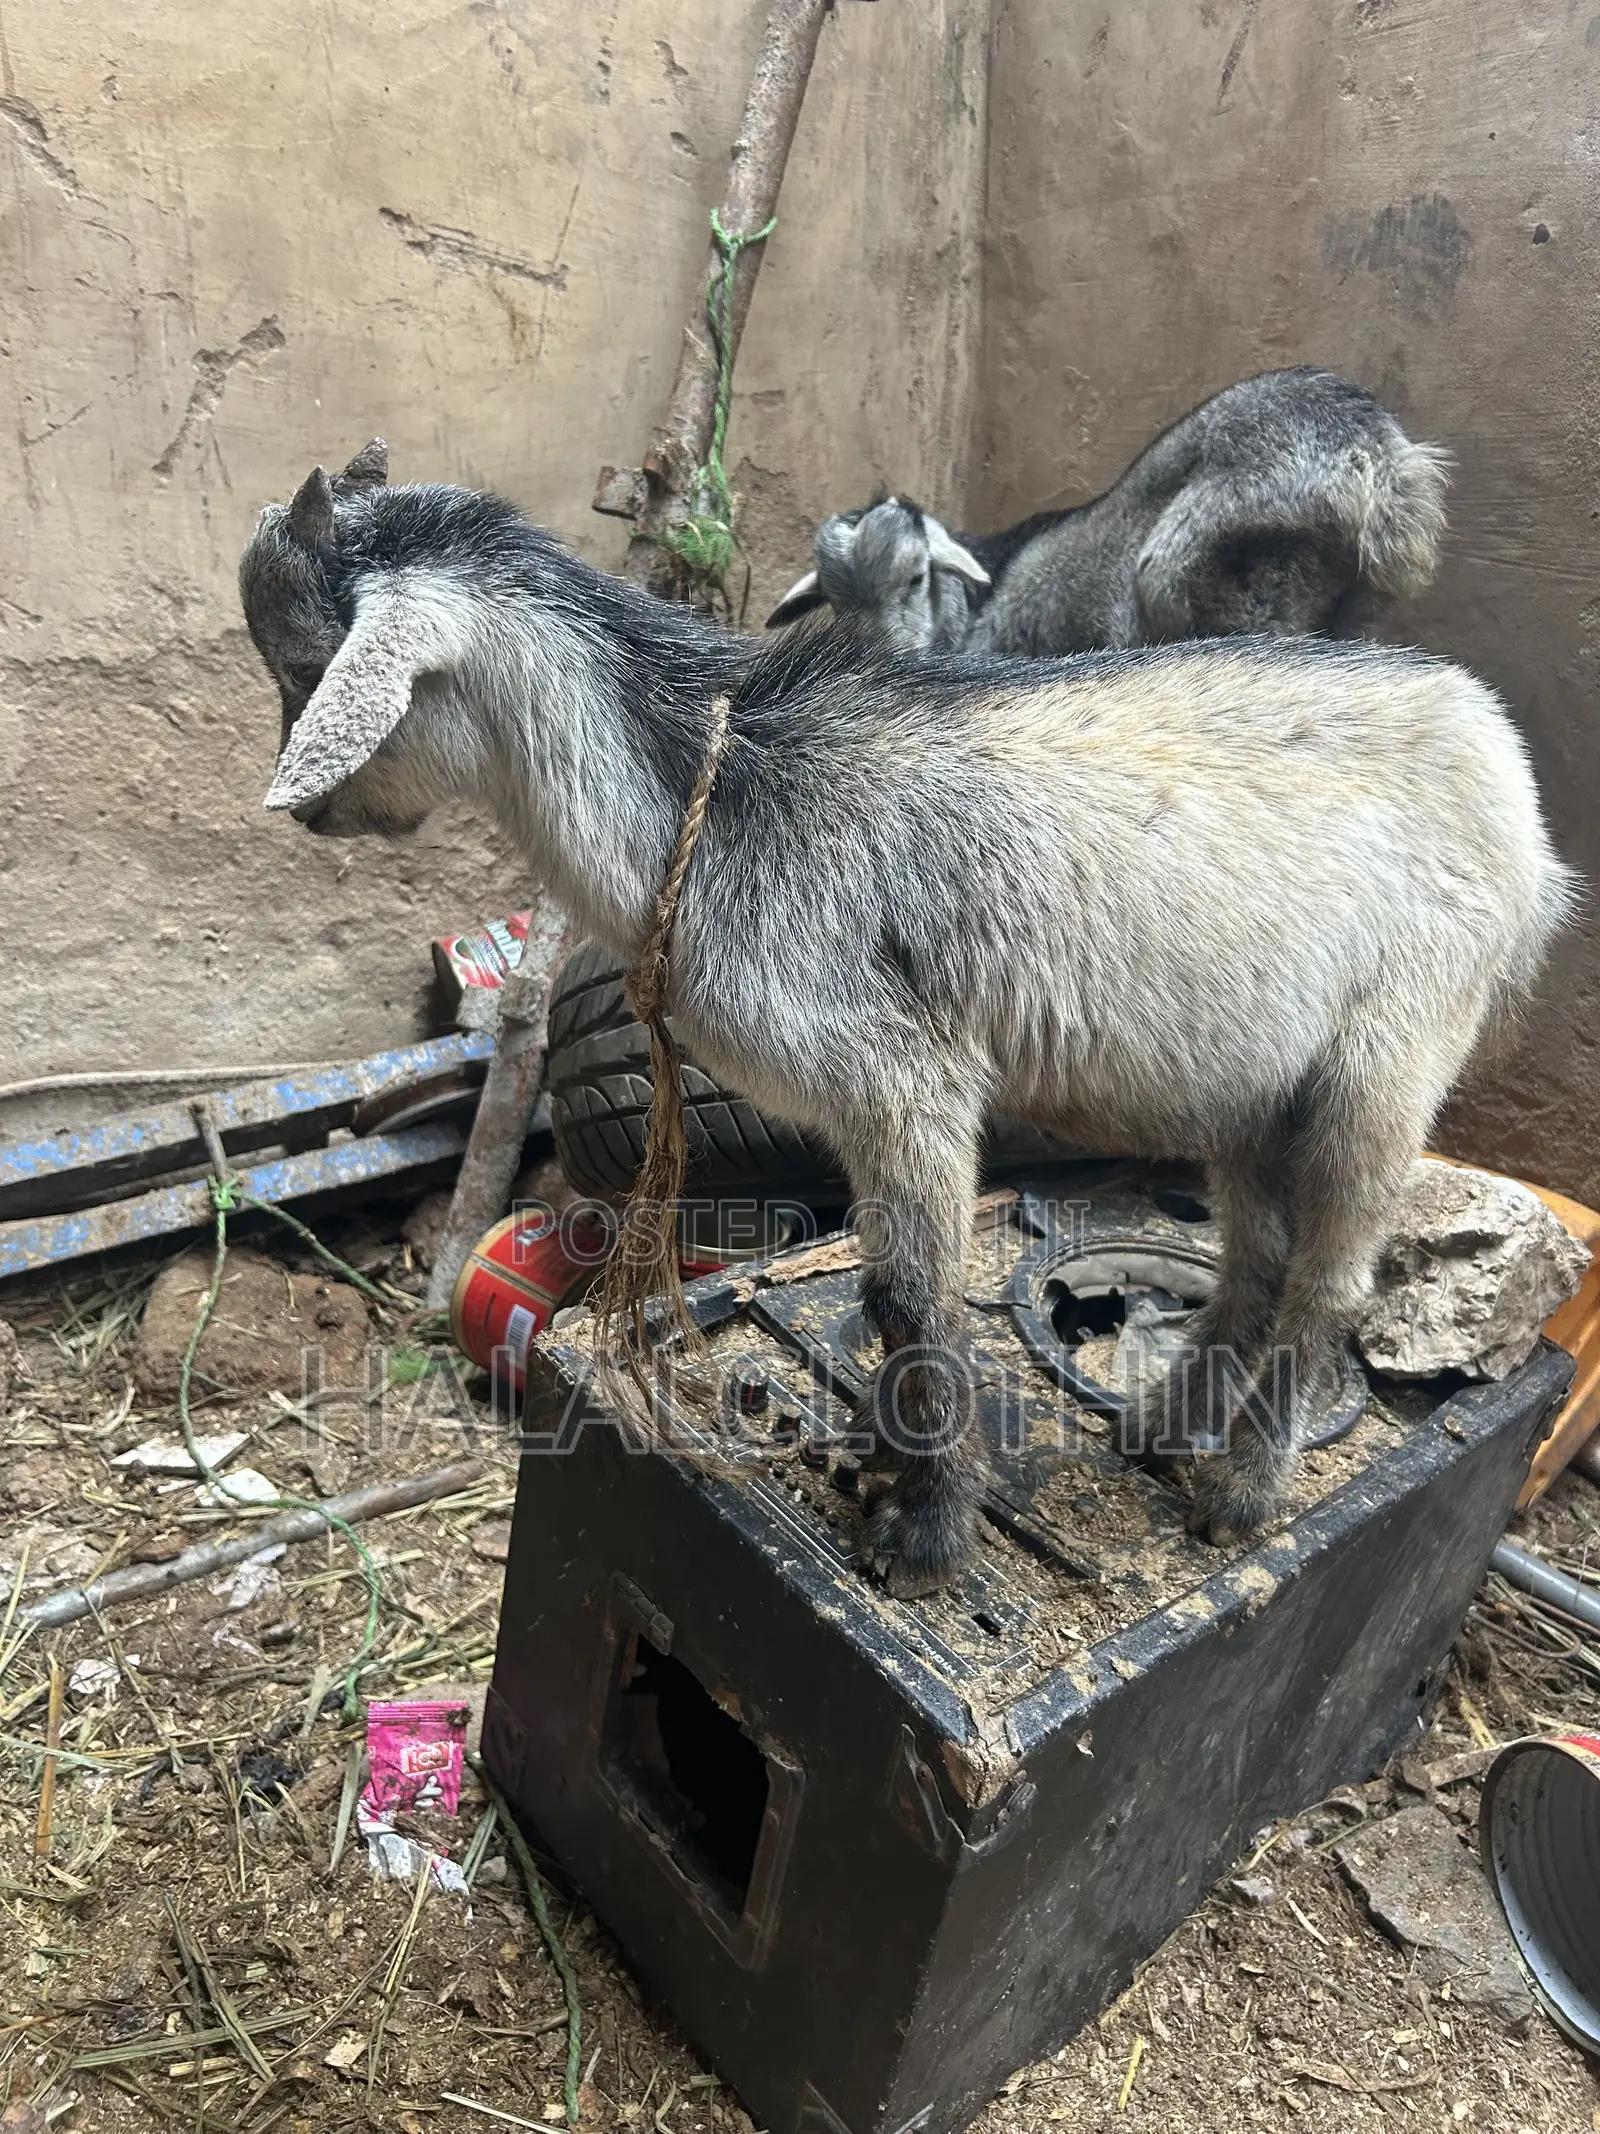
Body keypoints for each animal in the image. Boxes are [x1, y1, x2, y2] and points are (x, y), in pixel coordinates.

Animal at [241, 444, 1570, 1596]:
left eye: (306, 669)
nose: (304, 812)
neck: (713, 788)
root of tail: (1492, 745)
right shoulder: (857, 1110)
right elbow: (882, 1296)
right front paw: (890, 1467)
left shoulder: (902, 1082)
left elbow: (916, 1299)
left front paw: (925, 1535)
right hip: (1245, 1067)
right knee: (1258, 1251)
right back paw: (1163, 1423)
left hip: (1396, 1044)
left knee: (1331, 1278)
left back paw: (1242, 1490)